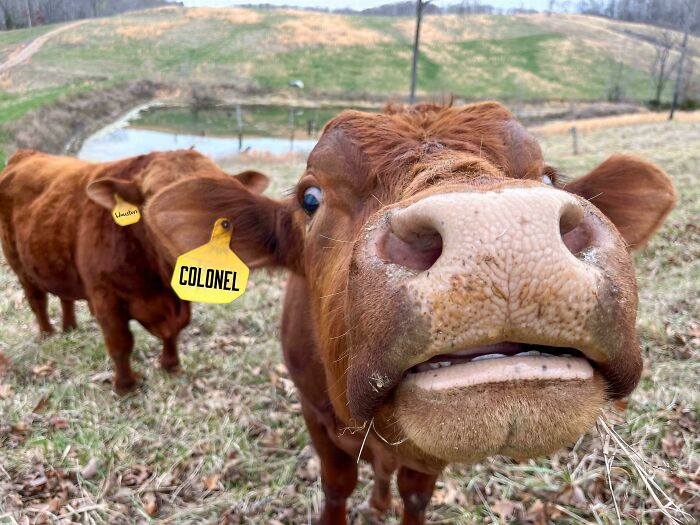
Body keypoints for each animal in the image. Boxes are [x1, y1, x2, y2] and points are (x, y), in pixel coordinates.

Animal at [0, 149, 268, 394]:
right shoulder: (105, 297)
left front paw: (171, 366)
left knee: (65, 296)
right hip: (18, 264)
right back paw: (48, 334)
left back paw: (70, 328)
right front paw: (126, 386)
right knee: (38, 301)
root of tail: (25, 154)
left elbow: (175, 330)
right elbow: (121, 343)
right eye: (153, 201)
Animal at [144, 102, 676, 524]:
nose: (501, 229)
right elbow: (337, 486)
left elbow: (415, 494)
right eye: (310, 198)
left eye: (546, 177)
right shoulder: (314, 414)